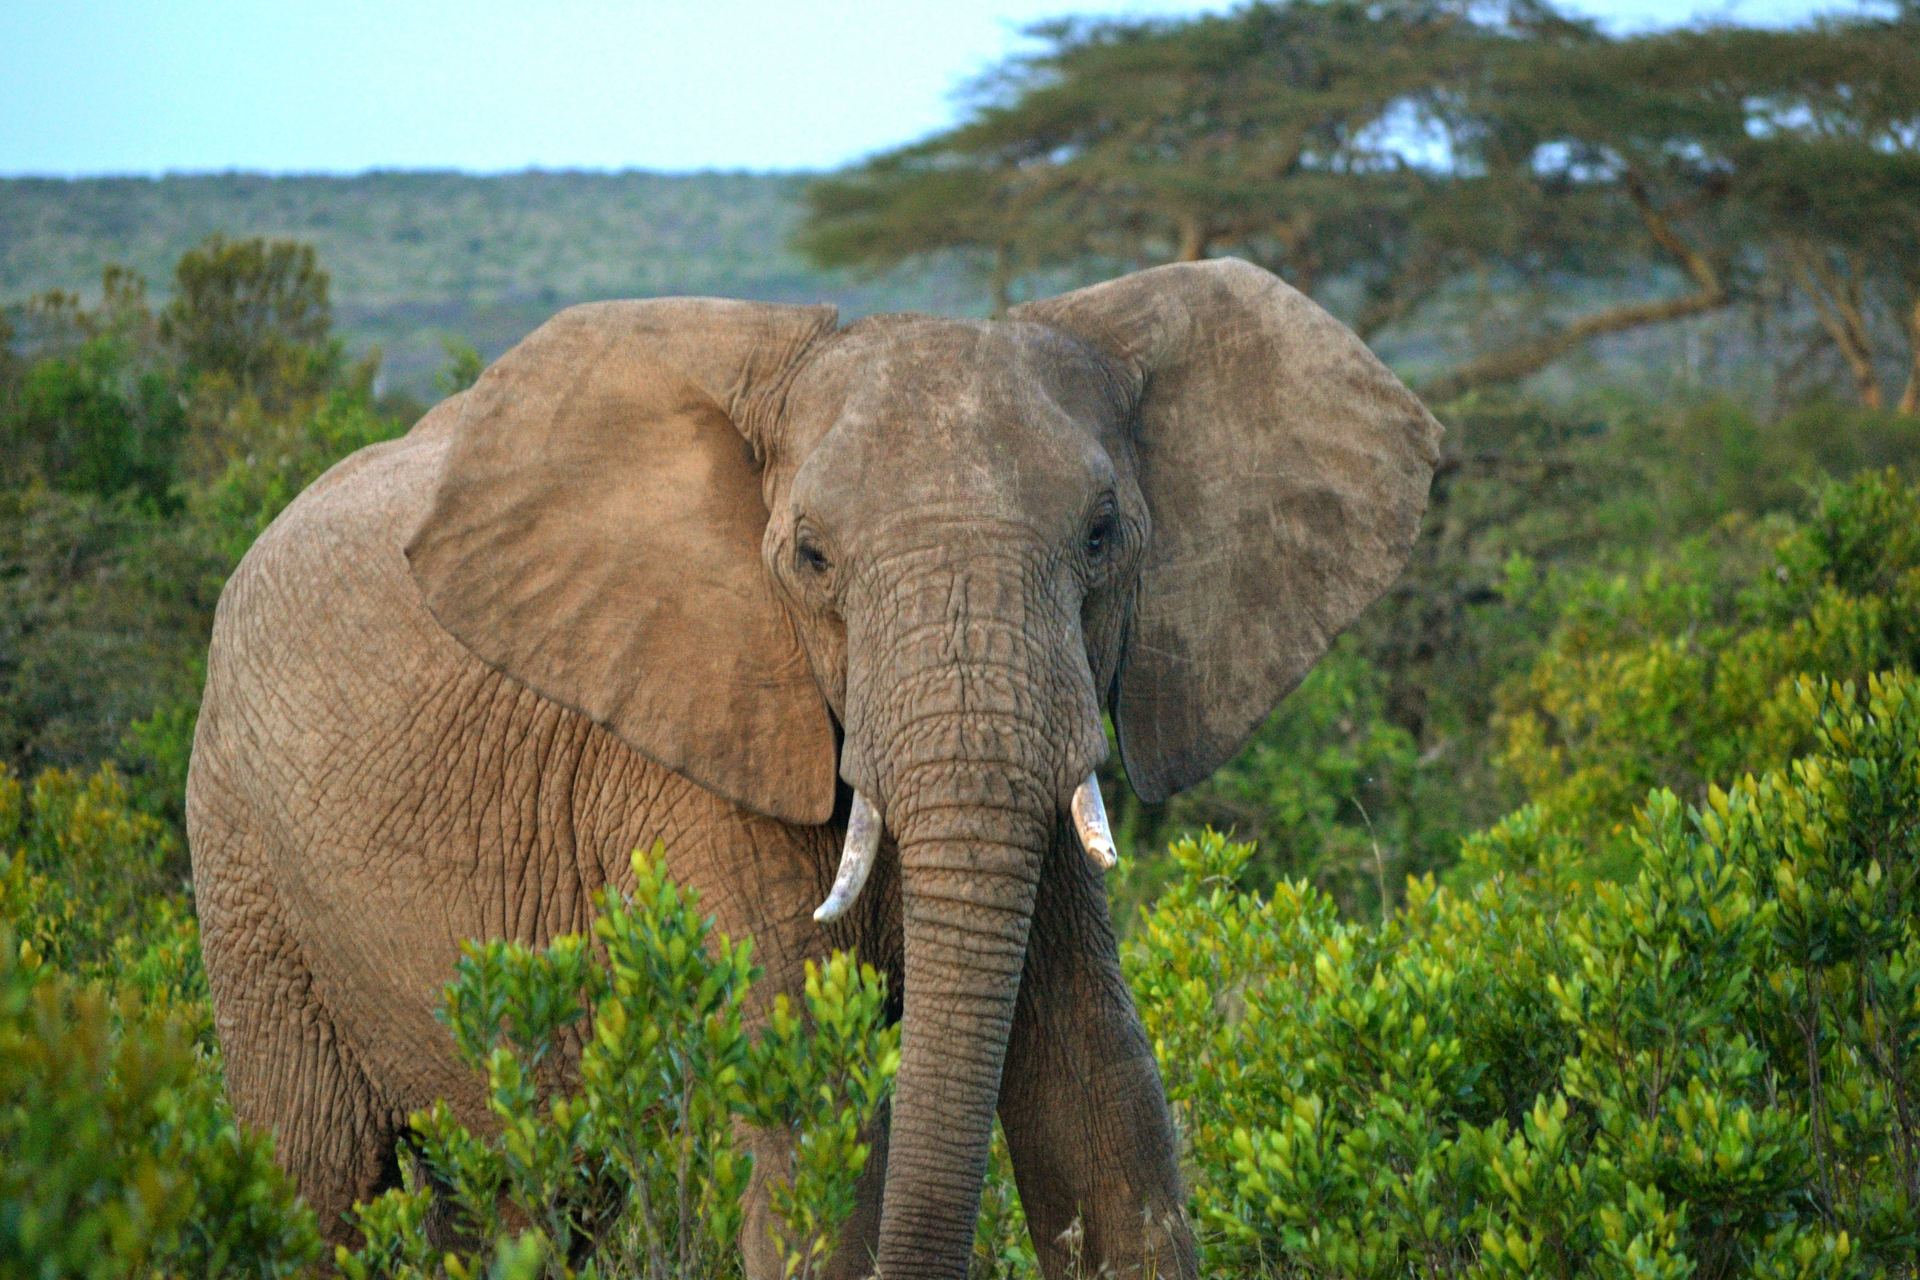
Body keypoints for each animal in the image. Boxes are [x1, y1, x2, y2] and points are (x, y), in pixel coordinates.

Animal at [187, 257, 1441, 1280]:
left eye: (1102, 535)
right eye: (810, 558)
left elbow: (1099, 1096)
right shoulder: (690, 742)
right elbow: (816, 1113)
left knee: (528, 1193)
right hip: (244, 866)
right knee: (315, 1174)